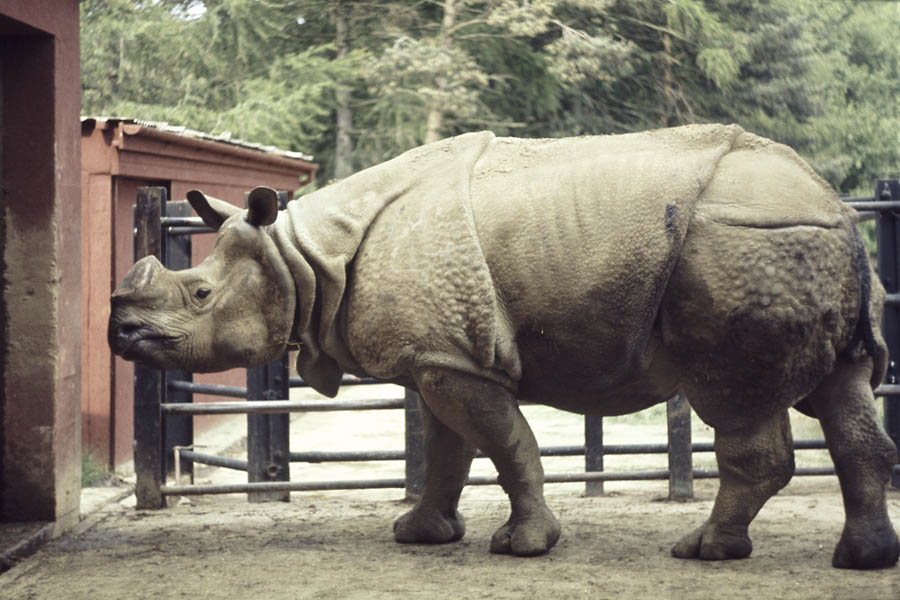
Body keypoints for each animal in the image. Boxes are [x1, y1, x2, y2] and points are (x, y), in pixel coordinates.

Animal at [109, 124, 899, 568]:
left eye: (198, 295)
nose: (119, 332)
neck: (302, 258)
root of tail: (832, 202)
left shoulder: (458, 361)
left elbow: (505, 442)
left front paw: (523, 548)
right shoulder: (438, 358)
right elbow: (447, 452)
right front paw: (420, 535)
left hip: (743, 246)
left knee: (734, 399)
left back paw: (704, 553)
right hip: (801, 245)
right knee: (844, 390)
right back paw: (861, 560)